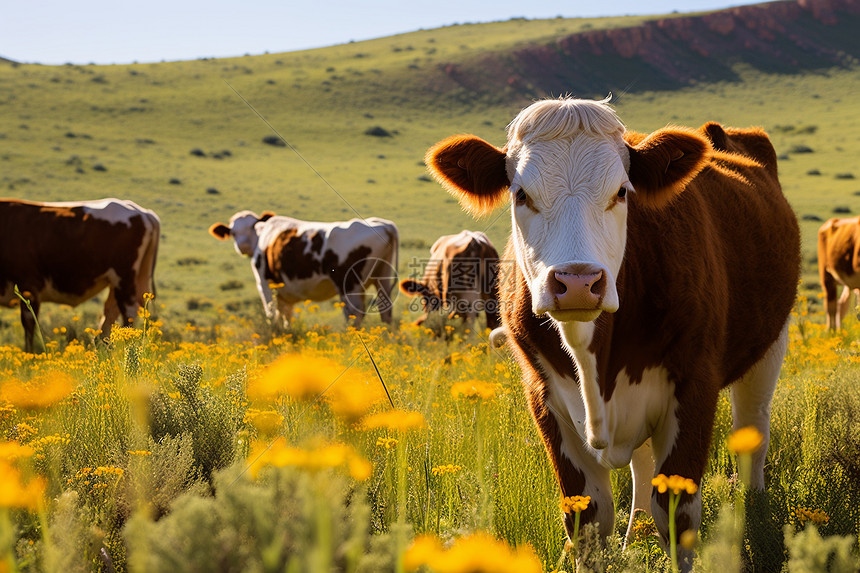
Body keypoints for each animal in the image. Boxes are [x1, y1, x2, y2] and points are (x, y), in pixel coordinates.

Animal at [0, 197, 160, 350]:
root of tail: (142, 212)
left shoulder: (29, 284)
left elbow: (29, 322)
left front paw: (30, 352)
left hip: (124, 277)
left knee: (129, 312)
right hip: (125, 280)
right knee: (110, 314)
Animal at [210, 210, 398, 326]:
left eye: (251, 226)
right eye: (233, 232)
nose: (241, 246)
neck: (262, 236)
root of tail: (385, 225)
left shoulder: (264, 284)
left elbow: (272, 316)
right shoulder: (285, 294)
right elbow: (286, 317)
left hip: (350, 285)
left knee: (354, 315)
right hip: (383, 277)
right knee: (386, 313)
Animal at [426, 96, 804, 564]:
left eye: (622, 191)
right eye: (521, 194)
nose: (577, 282)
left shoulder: (695, 386)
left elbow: (677, 515)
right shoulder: (544, 397)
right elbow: (587, 519)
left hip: (771, 345)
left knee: (753, 432)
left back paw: (755, 513)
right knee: (643, 466)